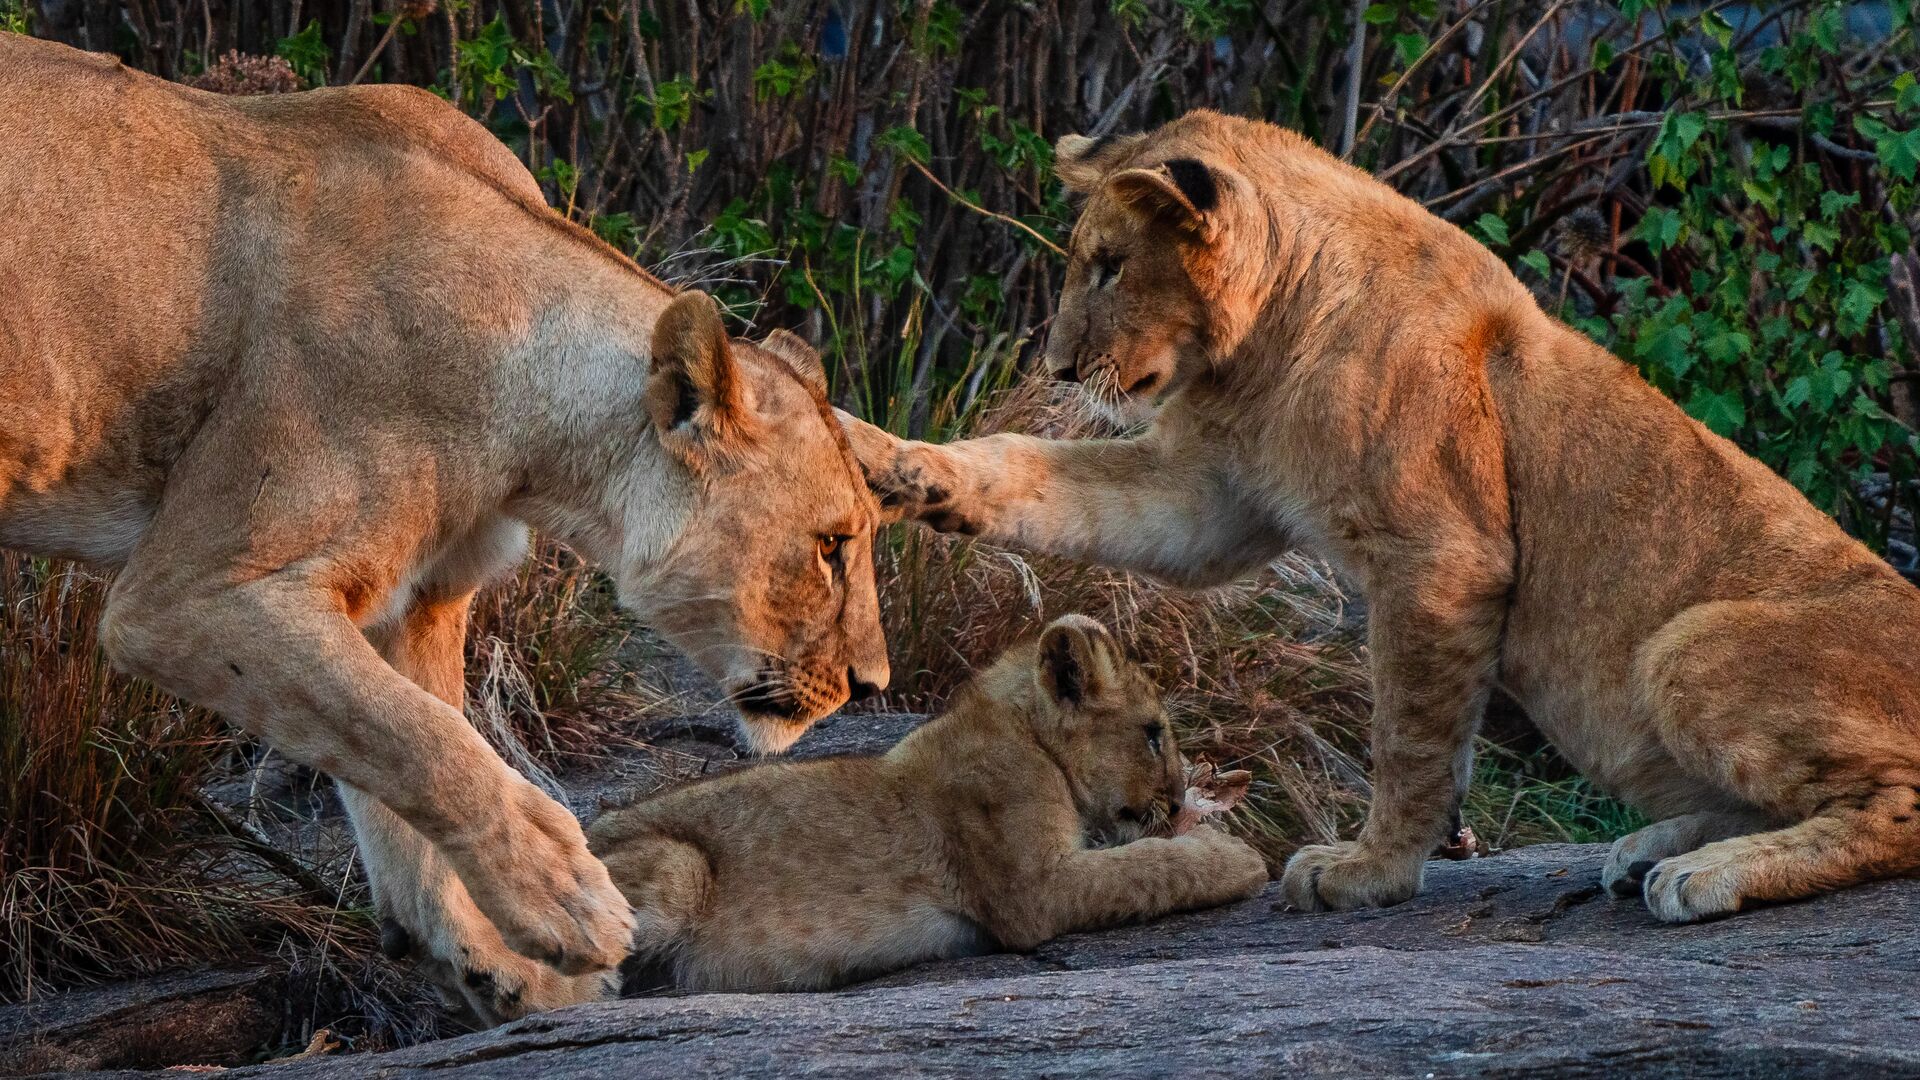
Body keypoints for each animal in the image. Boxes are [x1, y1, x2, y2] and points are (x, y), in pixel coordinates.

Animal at [0, 35, 888, 1022]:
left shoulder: (411, 601)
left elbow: (390, 748)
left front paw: (492, 961)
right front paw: (567, 900)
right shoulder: (187, 593)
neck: (535, 440)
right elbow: (427, 742)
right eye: (831, 546)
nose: (874, 684)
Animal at [586, 613, 1269, 992]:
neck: (1026, 735)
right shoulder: (1033, 894)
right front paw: (1236, 854)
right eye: (1153, 734)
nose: (1178, 801)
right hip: (680, 866)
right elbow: (1151, 866)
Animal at [845, 108, 1920, 924]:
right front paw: (888, 462)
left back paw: (1703, 873)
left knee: (1898, 808)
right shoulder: (1206, 501)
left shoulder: (1440, 559)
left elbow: (1408, 737)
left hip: (1684, 645)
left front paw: (1368, 872)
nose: (1060, 369)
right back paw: (1648, 849)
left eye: (1109, 265)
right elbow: (1025, 470)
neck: (1260, 353)